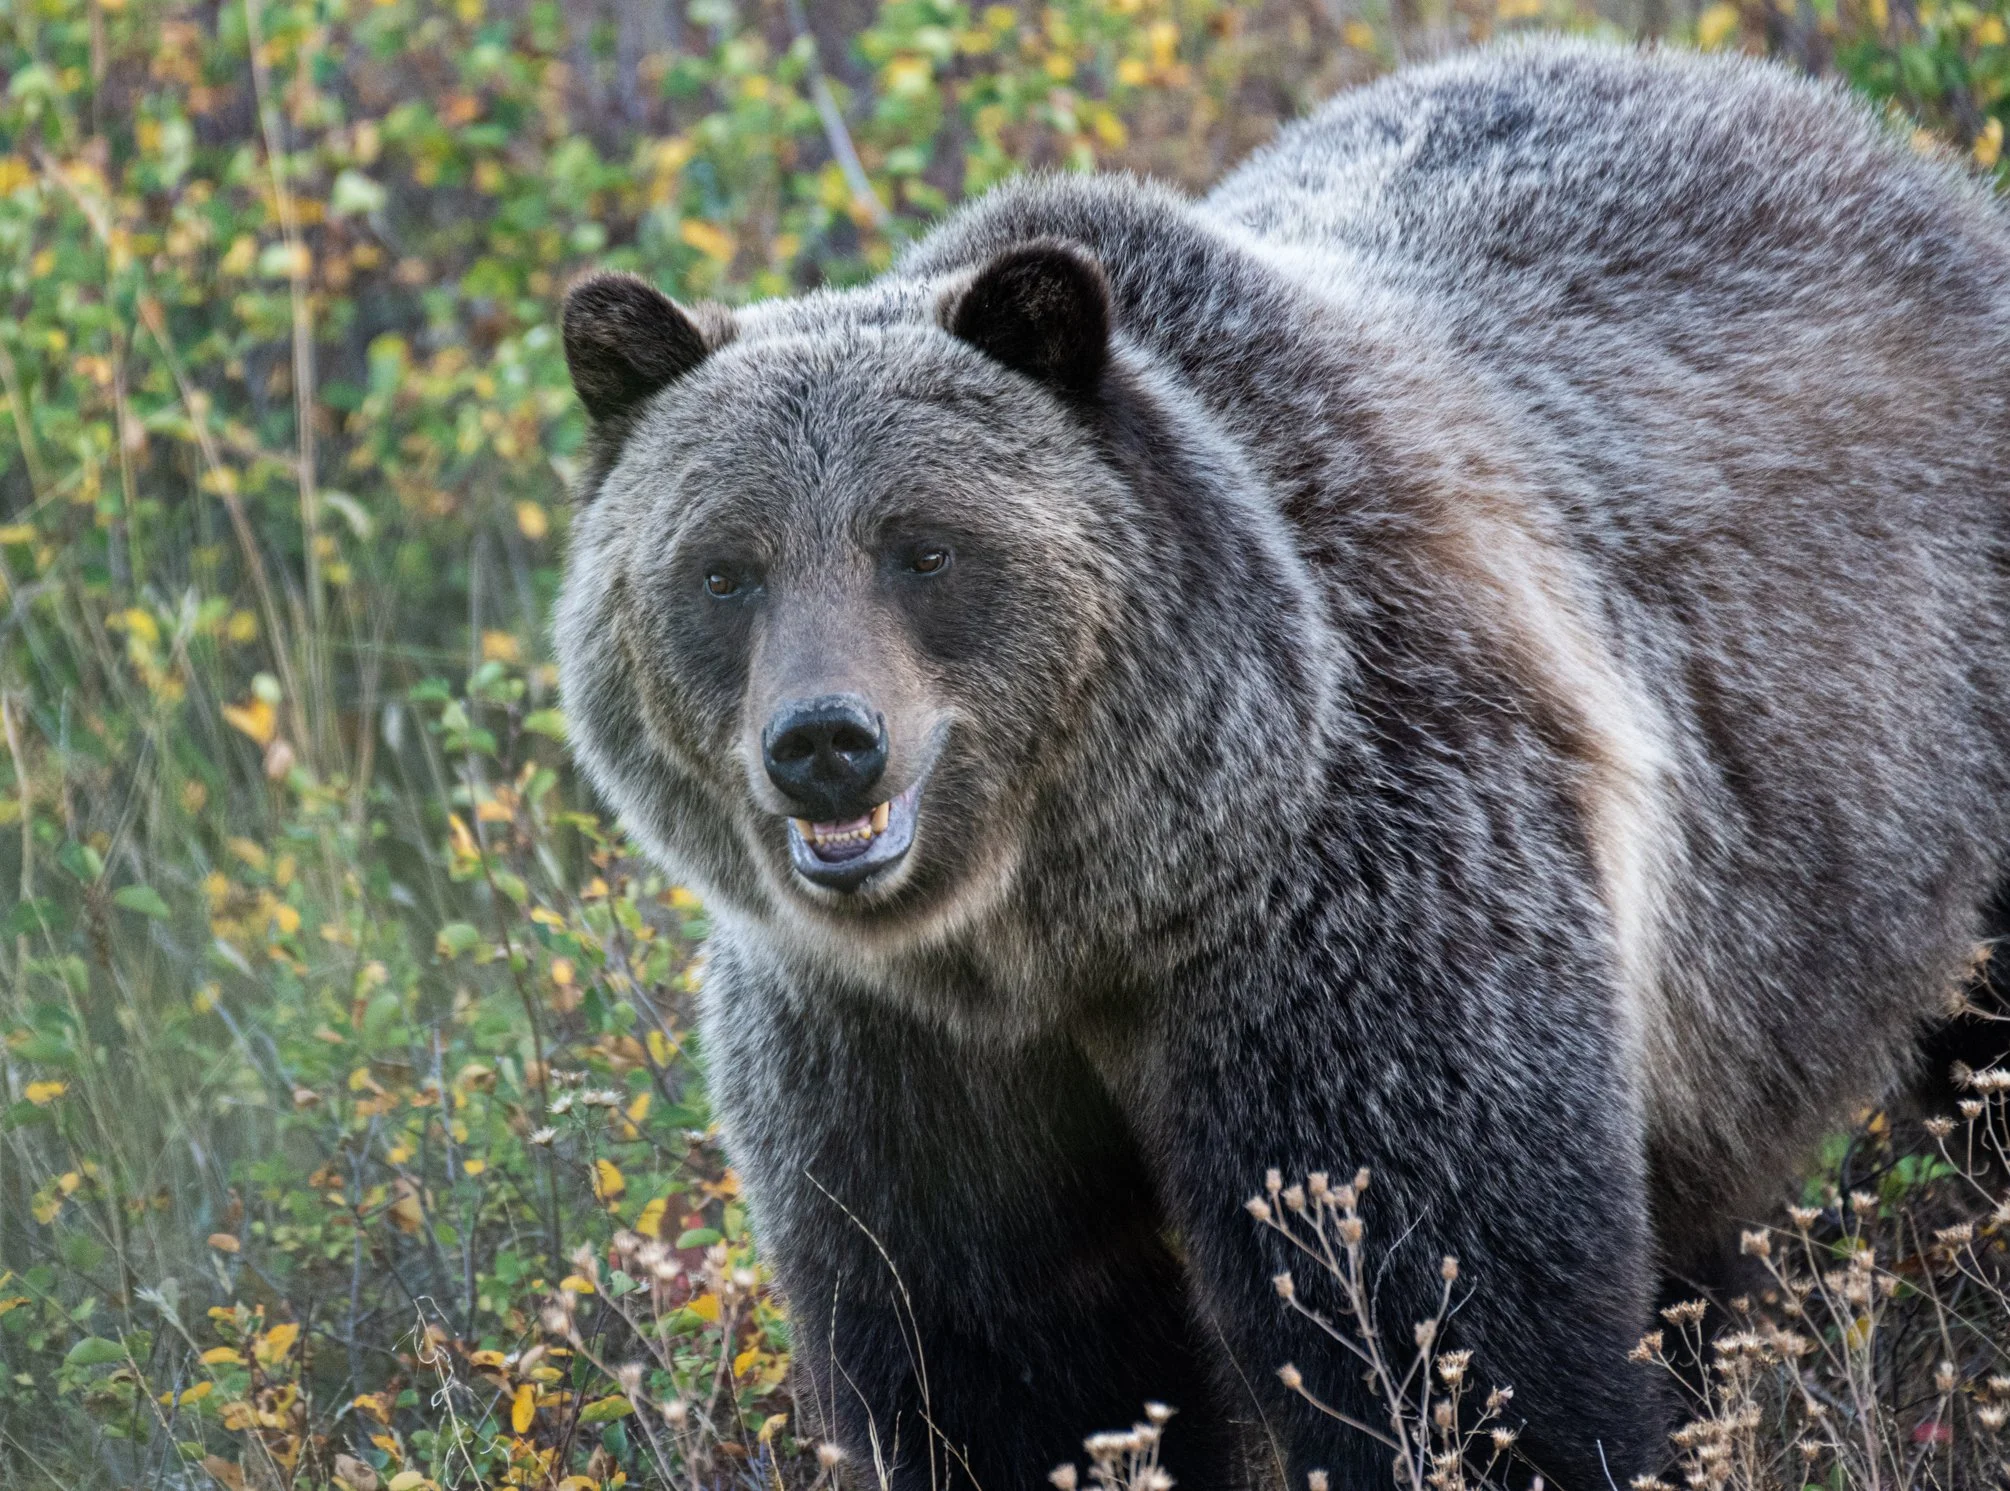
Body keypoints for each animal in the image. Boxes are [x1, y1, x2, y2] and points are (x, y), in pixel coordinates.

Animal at [554, 37, 2010, 1491]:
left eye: (925, 546)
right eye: (725, 569)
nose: (825, 743)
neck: (1071, 913)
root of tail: (1850, 126)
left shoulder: (1350, 898)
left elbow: (1439, 1301)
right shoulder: (885, 1043)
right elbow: (990, 1352)